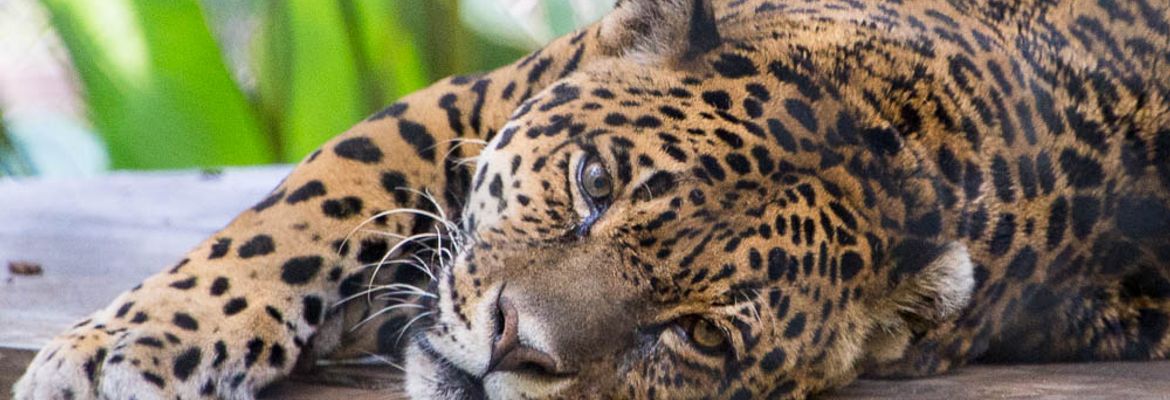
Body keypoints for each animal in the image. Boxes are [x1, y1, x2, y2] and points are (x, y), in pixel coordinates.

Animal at [14, 0, 1170, 398]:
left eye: (700, 335)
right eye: (593, 181)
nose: (511, 347)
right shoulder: (460, 100)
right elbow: (301, 215)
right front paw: (134, 345)